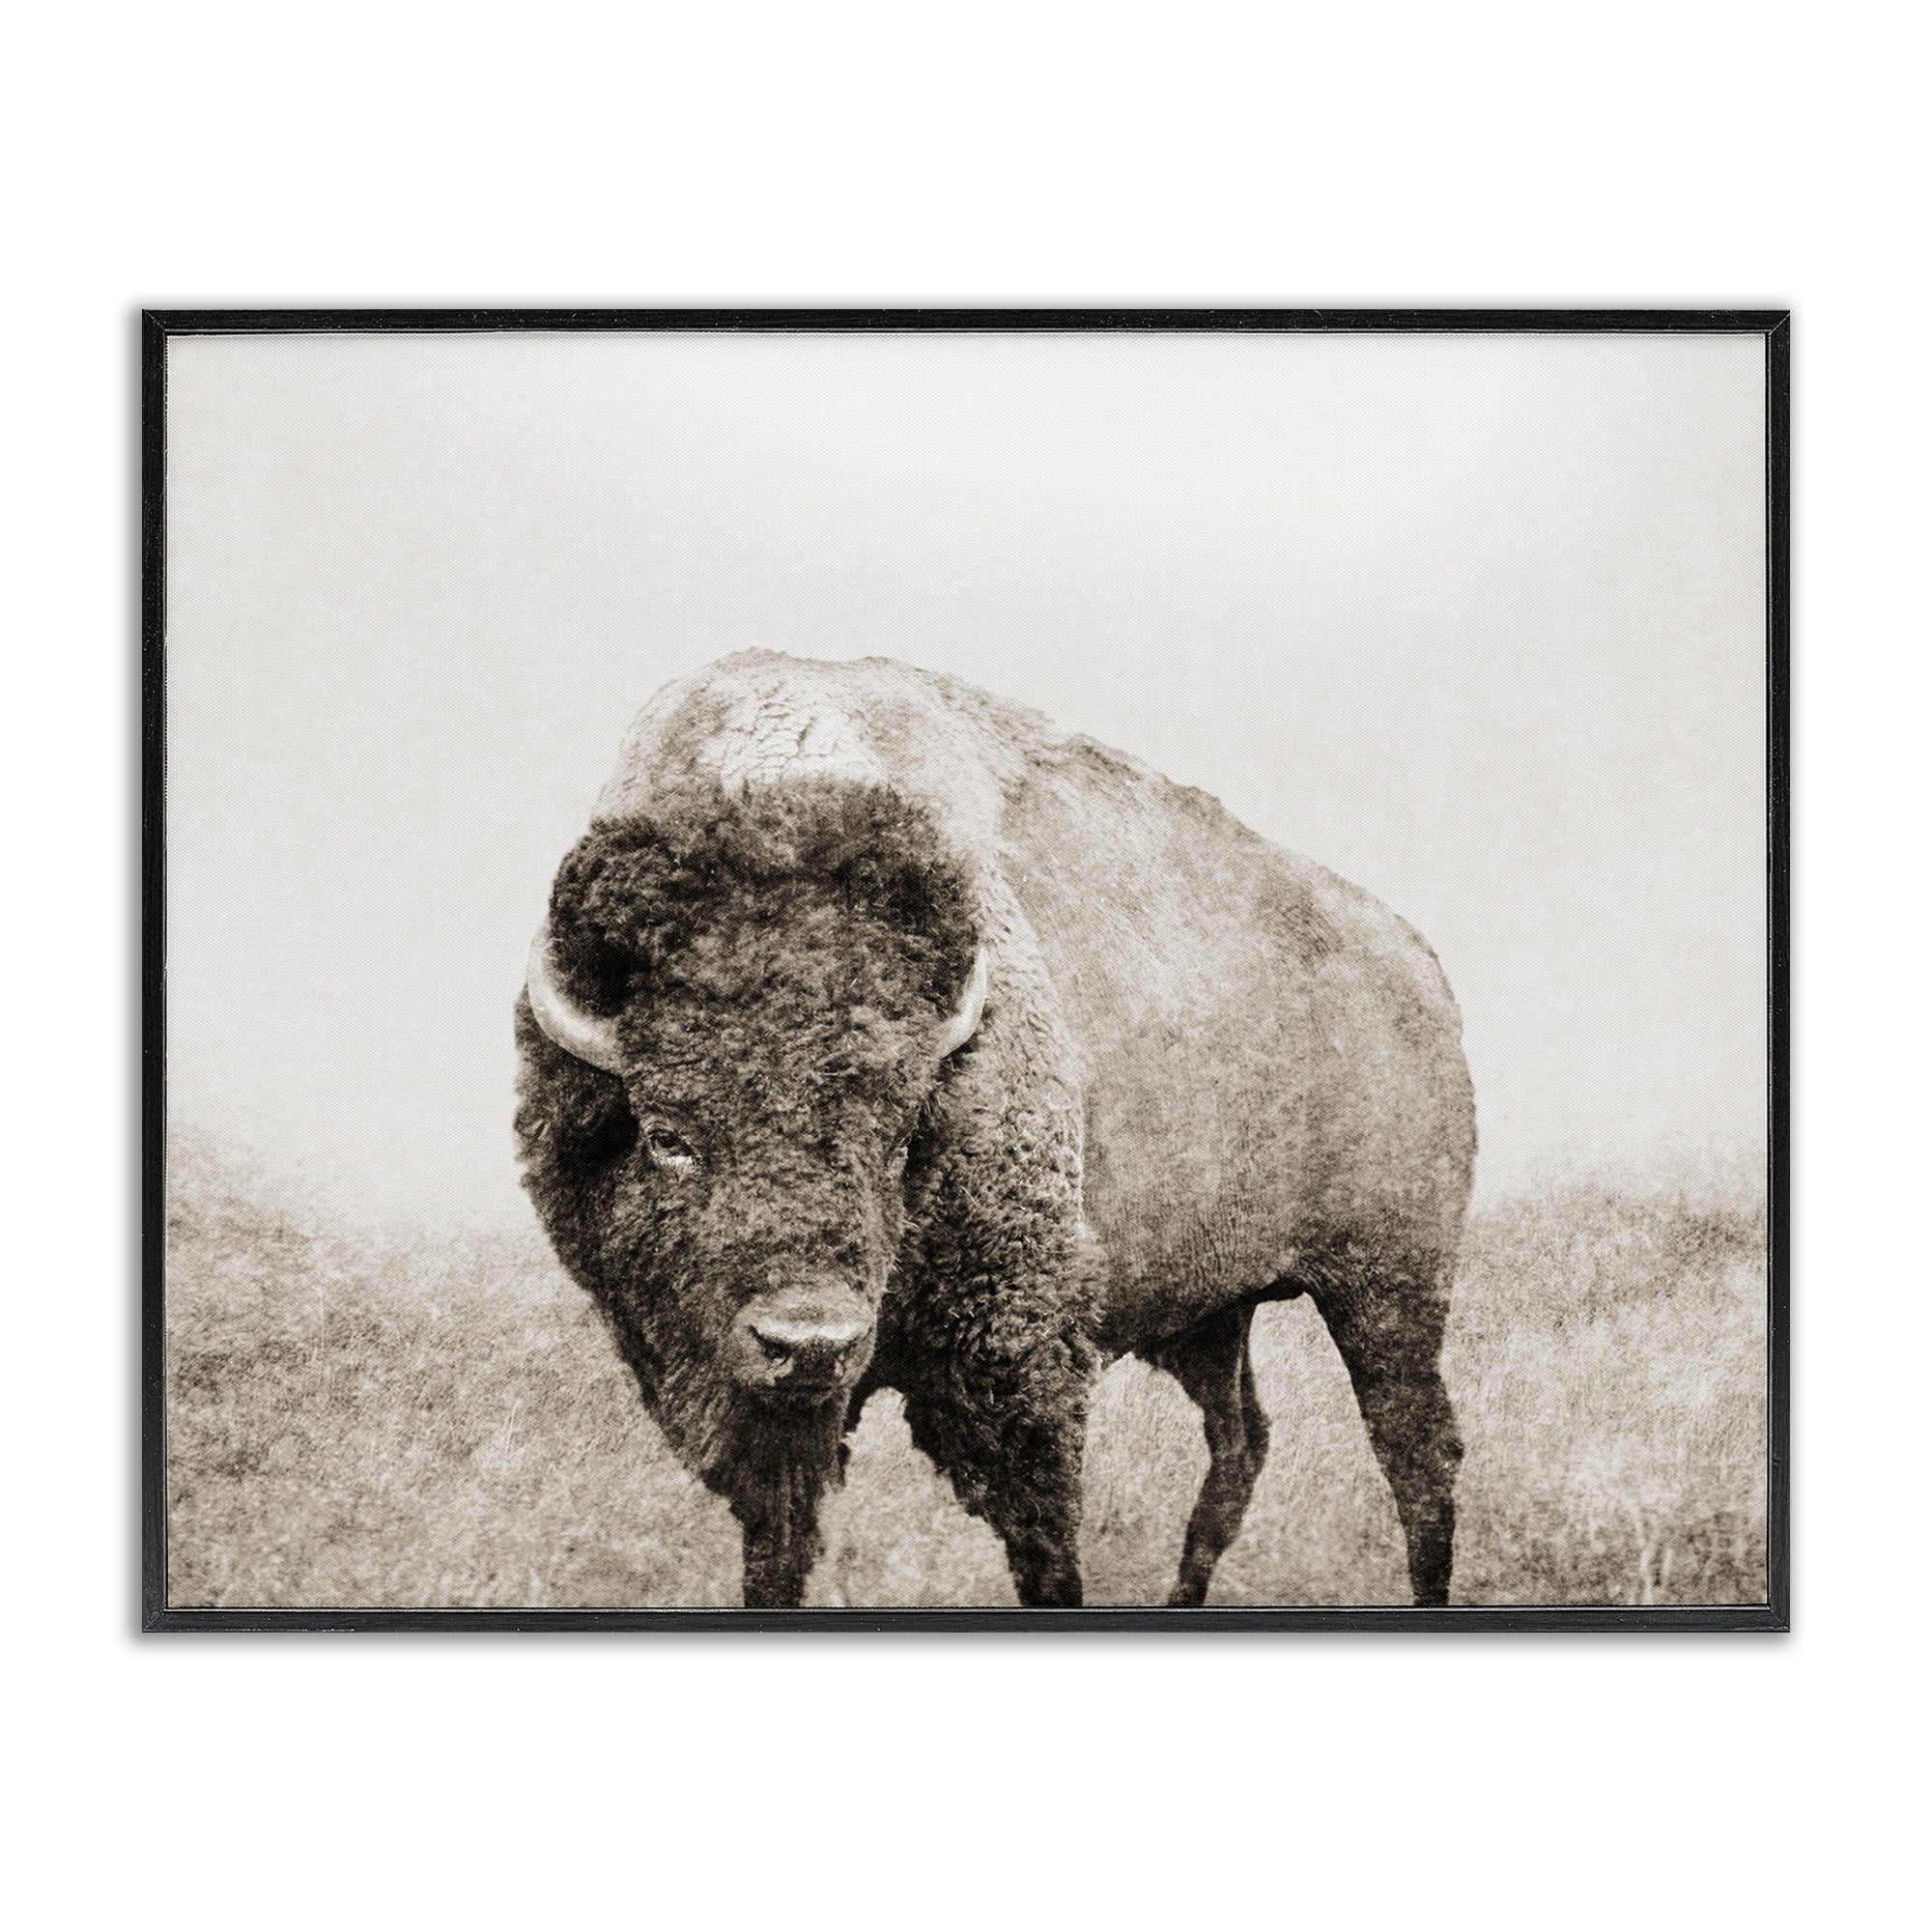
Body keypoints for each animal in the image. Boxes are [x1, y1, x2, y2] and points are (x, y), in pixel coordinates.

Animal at [515, 651, 1475, 1608]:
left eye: (901, 1135)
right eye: (667, 1135)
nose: (810, 1342)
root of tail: (1420, 965)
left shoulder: (1018, 1358)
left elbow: (1044, 1541)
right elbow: (778, 1547)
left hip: (1387, 1286)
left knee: (1418, 1452)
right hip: (1215, 1312)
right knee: (1241, 1442)